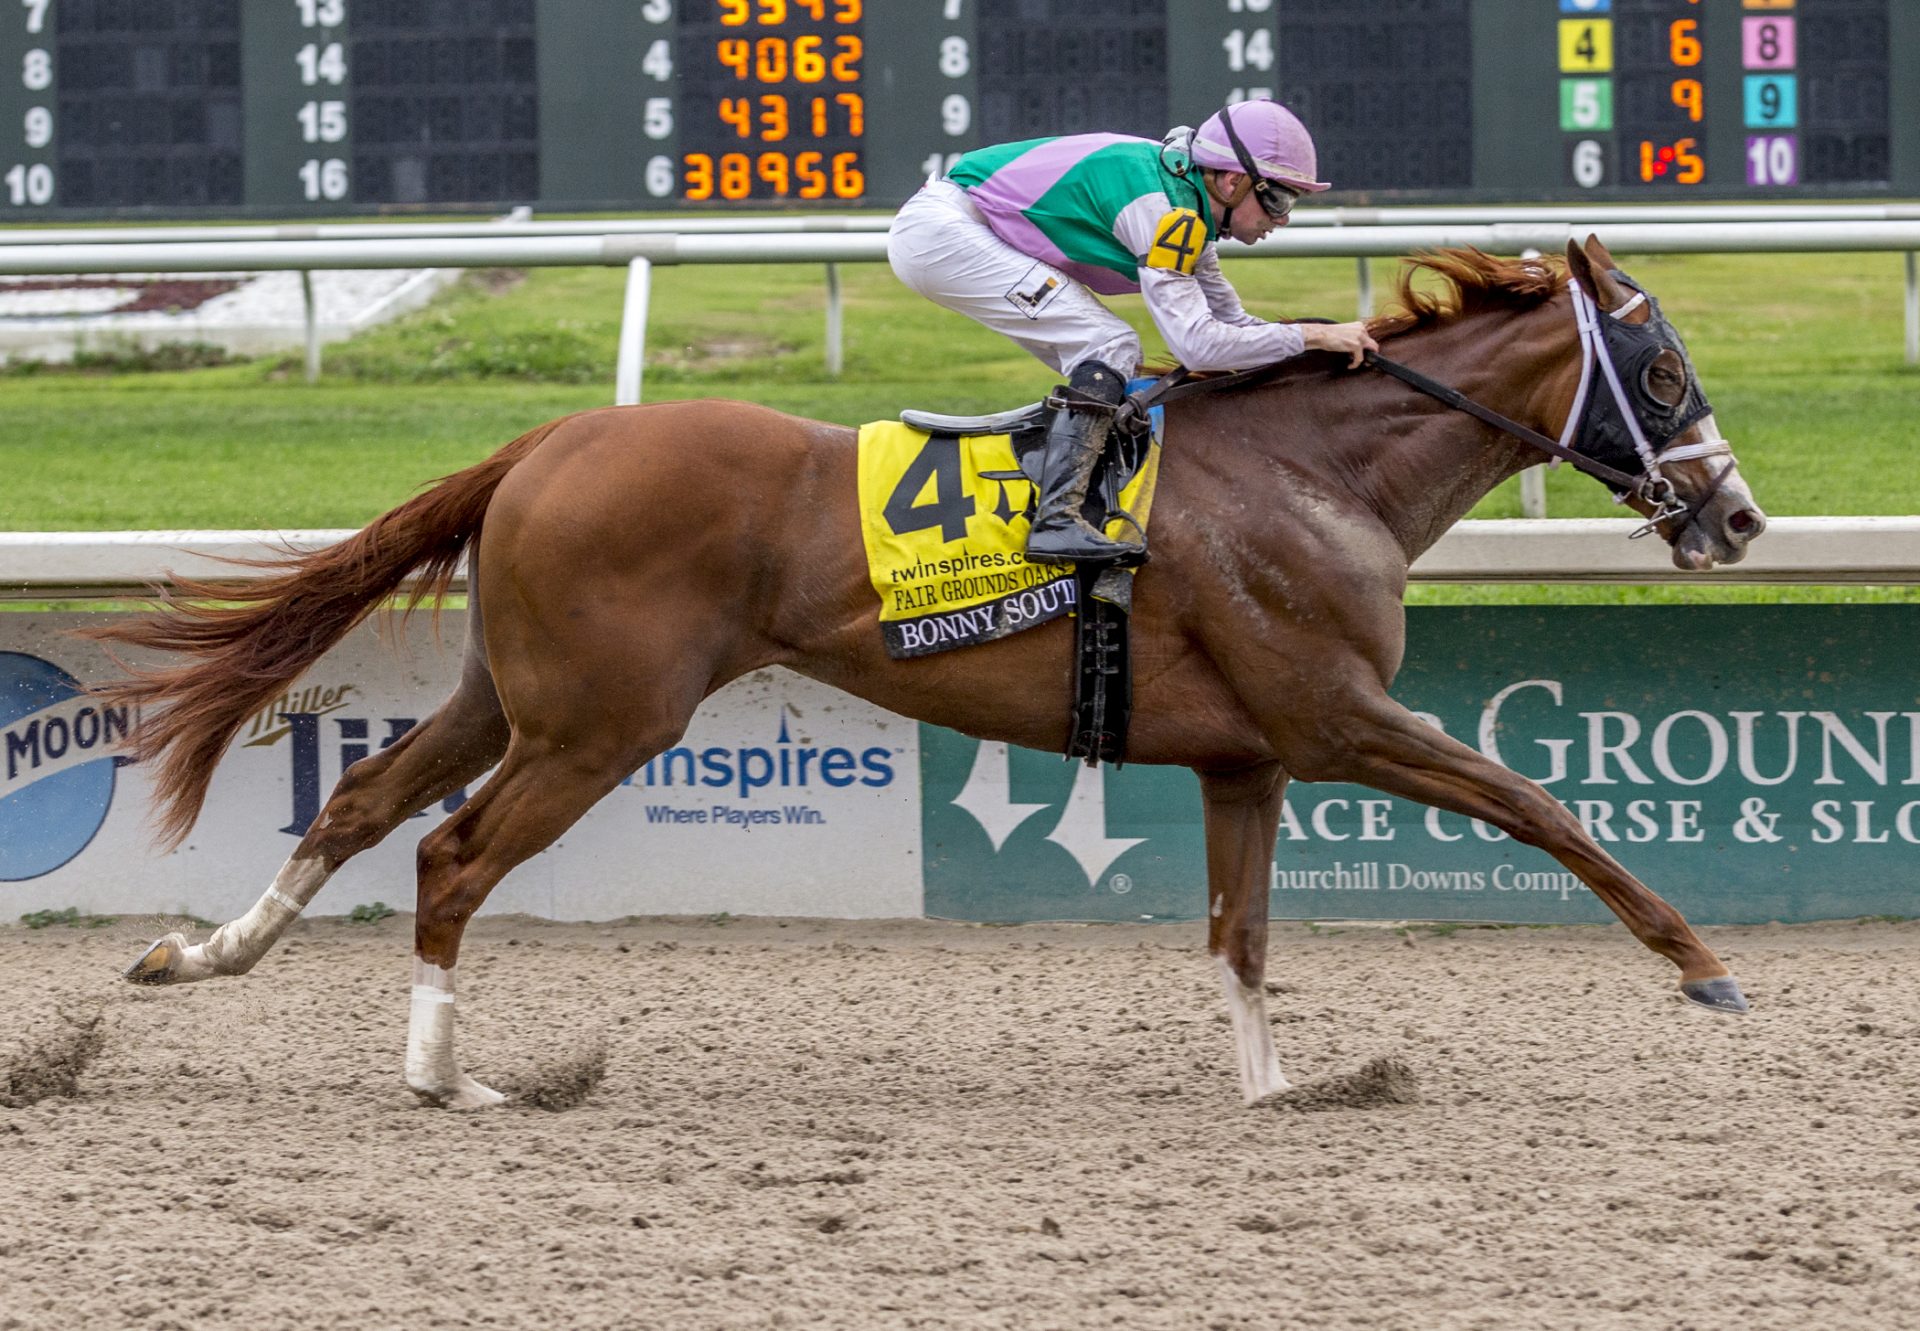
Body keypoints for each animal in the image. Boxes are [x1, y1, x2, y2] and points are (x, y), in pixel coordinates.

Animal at [97, 233, 1758, 1106]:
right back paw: (449, 1072)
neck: (1314, 471)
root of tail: (552, 437)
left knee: (361, 798)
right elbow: (1542, 807)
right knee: (449, 852)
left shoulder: (1250, 754)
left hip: (512, 692)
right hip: (602, 722)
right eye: (1665, 365)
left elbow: (1241, 934)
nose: (1736, 516)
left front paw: (1277, 1085)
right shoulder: (1340, 717)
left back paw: (203, 953)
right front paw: (1703, 963)